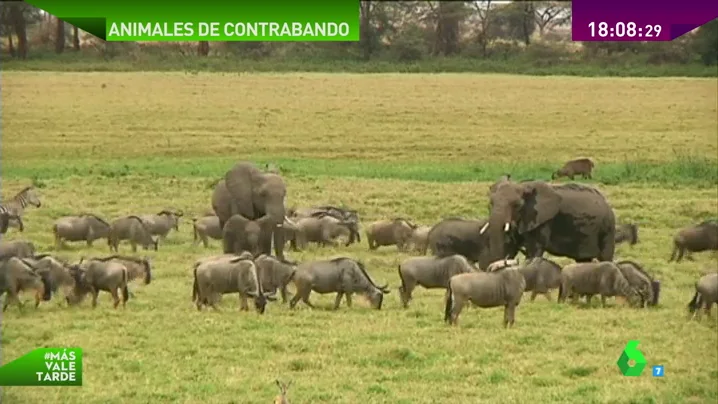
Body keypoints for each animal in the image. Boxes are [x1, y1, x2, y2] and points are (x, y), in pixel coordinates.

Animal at [480, 177, 616, 266]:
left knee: (605, 256)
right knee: (583, 260)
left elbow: (535, 247)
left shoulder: (544, 219)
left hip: (607, 227)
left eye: (517, 205)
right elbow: (510, 245)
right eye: (490, 203)